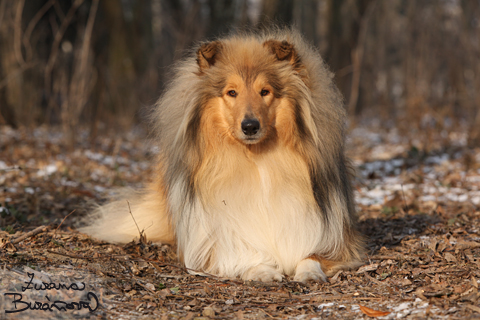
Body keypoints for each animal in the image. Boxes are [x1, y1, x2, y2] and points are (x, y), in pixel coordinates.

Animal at [80, 28, 362, 282]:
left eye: (265, 91)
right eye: (232, 92)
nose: (250, 126)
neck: (257, 161)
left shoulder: (334, 238)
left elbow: (310, 255)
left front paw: (309, 272)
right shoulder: (212, 242)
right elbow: (240, 253)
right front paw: (261, 270)